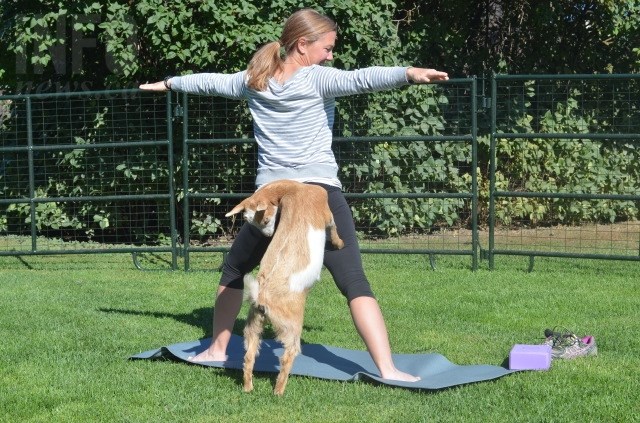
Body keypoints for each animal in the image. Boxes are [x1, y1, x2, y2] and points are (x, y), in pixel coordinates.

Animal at [226, 181, 344, 396]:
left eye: (262, 220)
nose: (268, 235)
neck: (295, 191)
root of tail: (261, 296)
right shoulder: (327, 215)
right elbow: (334, 228)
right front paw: (340, 244)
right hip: (291, 327)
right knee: (288, 355)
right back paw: (279, 391)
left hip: (253, 325)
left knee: (248, 356)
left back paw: (248, 388)